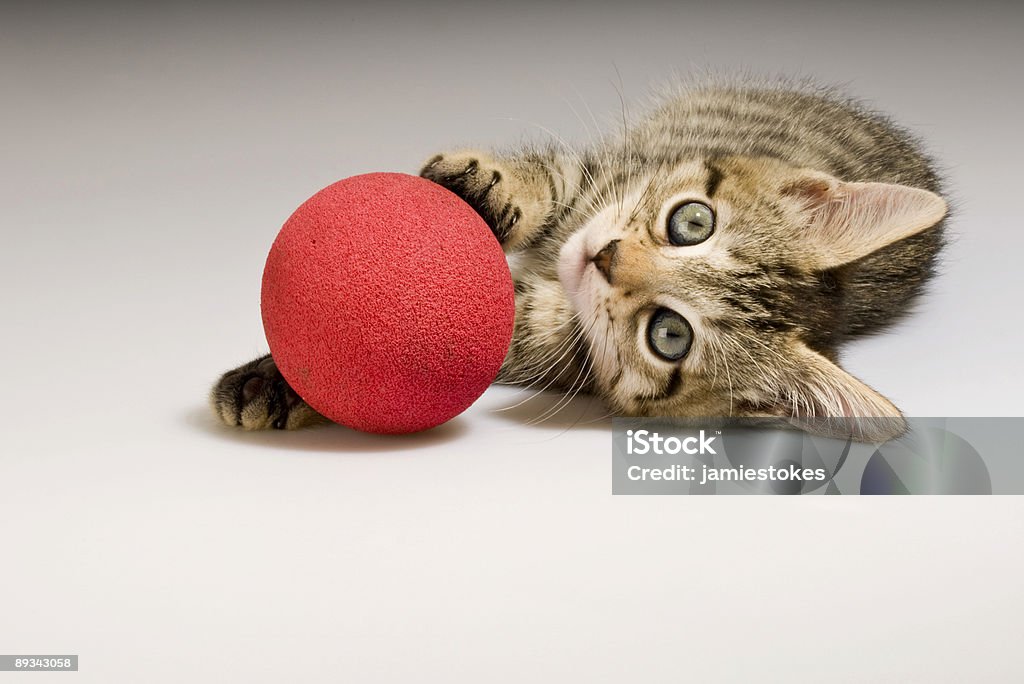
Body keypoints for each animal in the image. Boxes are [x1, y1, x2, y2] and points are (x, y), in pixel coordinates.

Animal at [211, 77, 946, 440]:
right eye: (693, 221)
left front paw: (277, 381)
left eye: (669, 335)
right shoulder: (601, 180)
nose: (606, 257)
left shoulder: (537, 340)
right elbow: (549, 180)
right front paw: (484, 188)